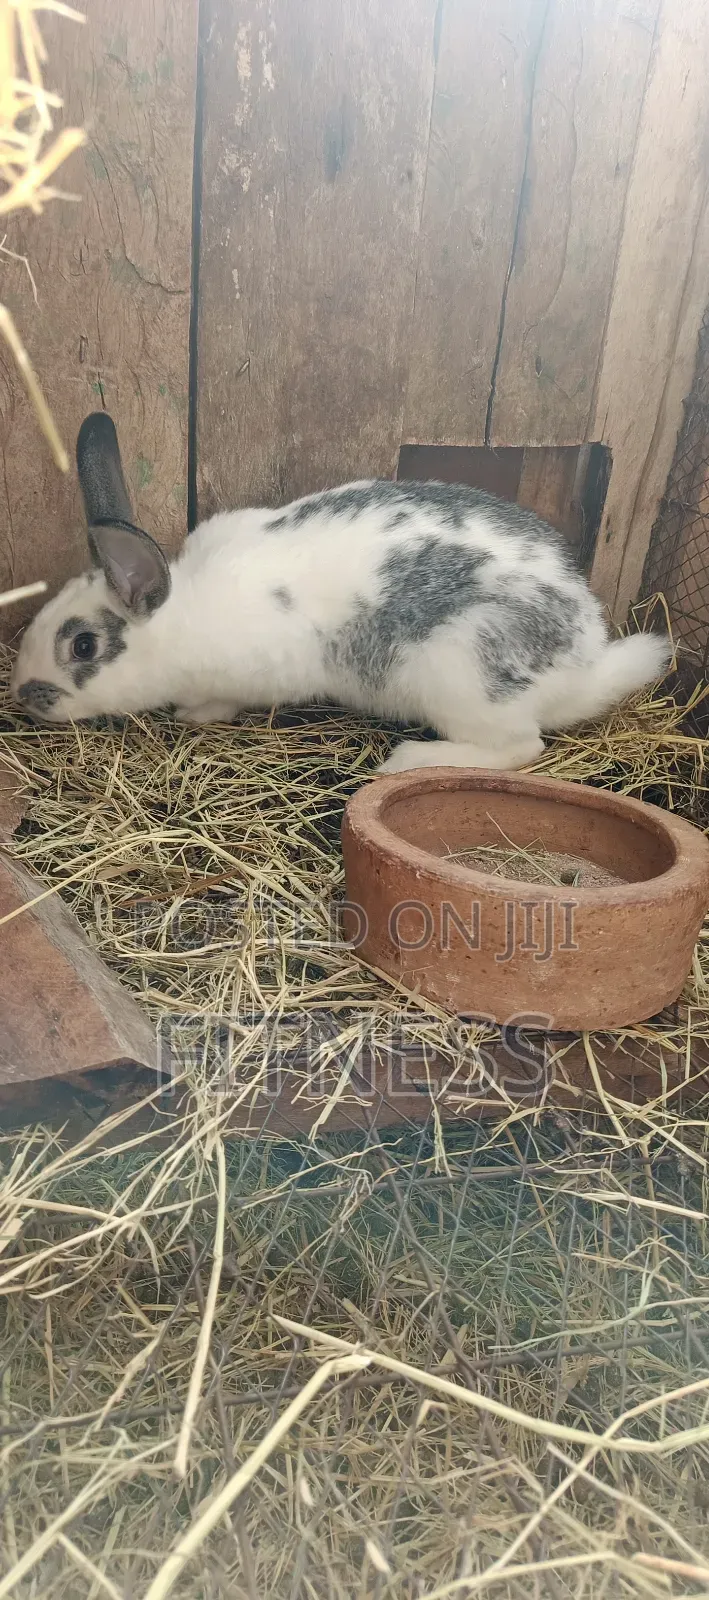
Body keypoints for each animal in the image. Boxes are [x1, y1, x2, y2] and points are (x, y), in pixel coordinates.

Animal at [11, 411, 670, 773]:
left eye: (84, 647)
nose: (23, 695)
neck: (181, 618)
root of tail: (586, 664)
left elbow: (222, 703)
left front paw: (195, 714)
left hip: (464, 678)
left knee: (520, 746)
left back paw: (410, 761)